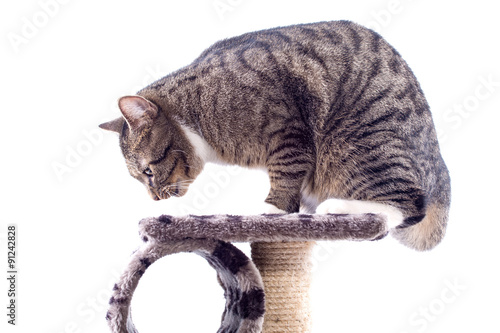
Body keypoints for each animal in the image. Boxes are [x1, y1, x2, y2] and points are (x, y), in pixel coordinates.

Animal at [100, 20, 450, 249]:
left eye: (148, 171)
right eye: (138, 177)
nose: (154, 198)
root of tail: (439, 162)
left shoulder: (288, 129)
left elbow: (285, 173)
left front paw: (269, 214)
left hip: (361, 143)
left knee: (407, 205)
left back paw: (339, 207)